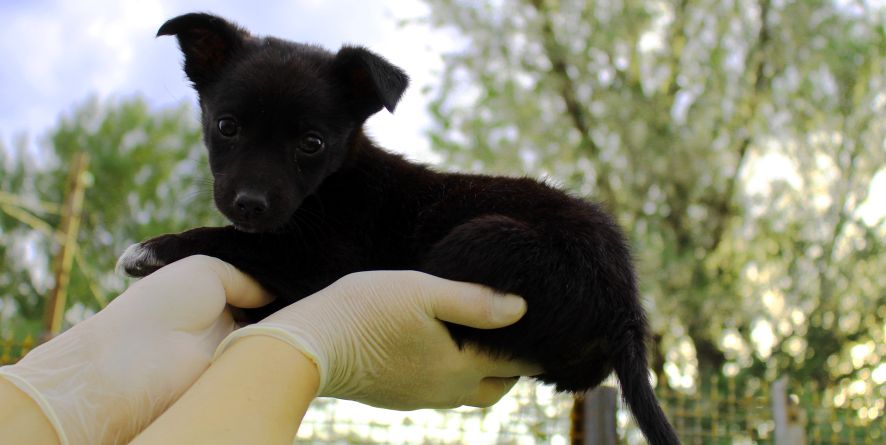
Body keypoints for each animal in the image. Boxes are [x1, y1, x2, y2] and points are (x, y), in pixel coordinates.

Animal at [119, 12, 680, 442]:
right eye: (226, 127)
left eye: (312, 143)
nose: (251, 205)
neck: (333, 185)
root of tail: (628, 307)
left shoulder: (327, 258)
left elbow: (231, 242)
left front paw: (156, 248)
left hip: (479, 240)